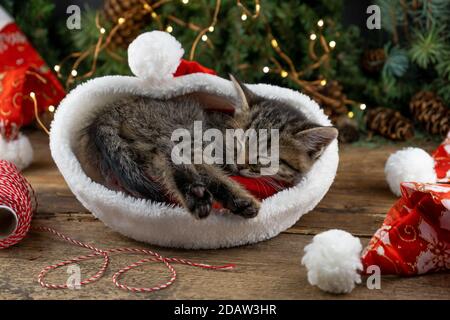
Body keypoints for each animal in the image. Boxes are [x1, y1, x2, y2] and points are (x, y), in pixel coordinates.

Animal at [79, 76, 336, 219]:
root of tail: (115, 106)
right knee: (172, 159)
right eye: (238, 141)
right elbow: (213, 173)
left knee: (160, 161)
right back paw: (206, 196)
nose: (240, 164)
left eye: (265, 156)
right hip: (180, 134)